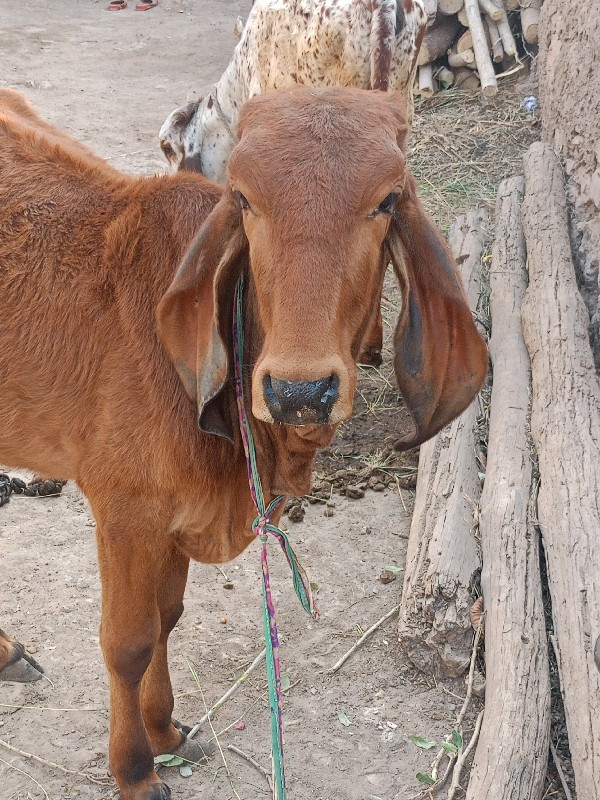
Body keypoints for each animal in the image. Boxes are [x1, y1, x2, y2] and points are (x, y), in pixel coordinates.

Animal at [0, 89, 488, 800]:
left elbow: (166, 618)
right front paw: (135, 769)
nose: (299, 390)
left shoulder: (168, 526)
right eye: (245, 199)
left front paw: (164, 729)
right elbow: (128, 643)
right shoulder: (124, 513)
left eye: (387, 200)